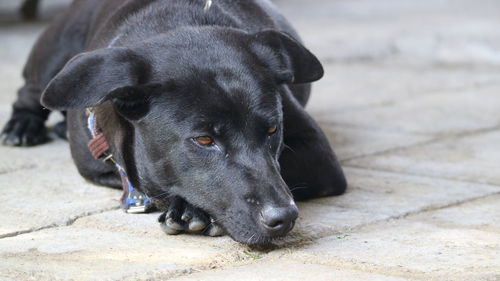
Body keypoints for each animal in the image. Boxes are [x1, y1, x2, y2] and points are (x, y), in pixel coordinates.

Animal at [0, 0, 344, 244]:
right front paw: (186, 208)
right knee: (28, 94)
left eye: (273, 130)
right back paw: (22, 128)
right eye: (204, 140)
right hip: (54, 59)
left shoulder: (320, 157)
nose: (283, 218)